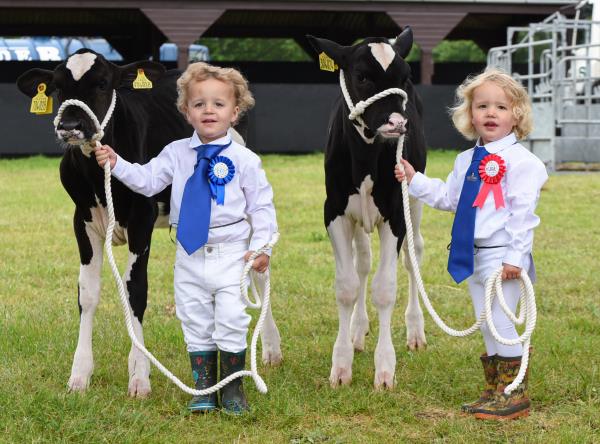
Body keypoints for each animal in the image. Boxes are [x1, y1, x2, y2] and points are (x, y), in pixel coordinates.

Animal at [15, 50, 284, 398]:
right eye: (58, 87)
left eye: (103, 83)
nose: (70, 125)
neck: (98, 178)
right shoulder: (82, 219)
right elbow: (87, 294)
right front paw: (79, 375)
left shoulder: (142, 218)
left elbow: (135, 291)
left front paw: (140, 376)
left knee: (260, 271)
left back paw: (271, 349)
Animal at [308, 26, 428, 388]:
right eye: (361, 76)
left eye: (405, 77)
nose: (398, 123)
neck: (366, 159)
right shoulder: (334, 211)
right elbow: (347, 286)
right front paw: (341, 364)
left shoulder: (395, 214)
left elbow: (385, 288)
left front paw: (385, 369)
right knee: (363, 263)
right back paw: (357, 330)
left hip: (413, 200)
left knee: (413, 255)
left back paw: (415, 330)